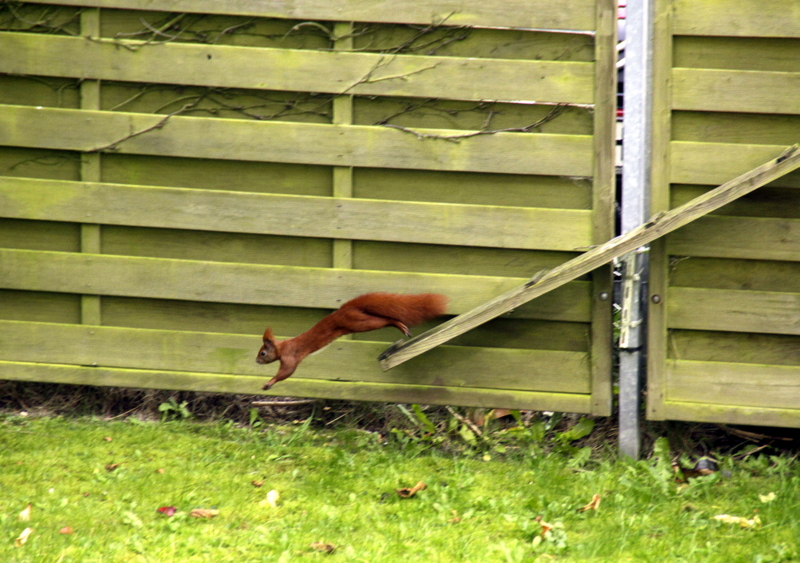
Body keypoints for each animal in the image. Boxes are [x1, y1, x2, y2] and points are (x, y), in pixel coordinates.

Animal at [256, 294, 446, 390]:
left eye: (263, 352)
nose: (256, 361)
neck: (282, 347)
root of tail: (345, 309)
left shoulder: (290, 357)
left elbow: (286, 372)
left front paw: (269, 382)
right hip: (357, 321)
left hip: (357, 322)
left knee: (384, 320)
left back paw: (398, 324)